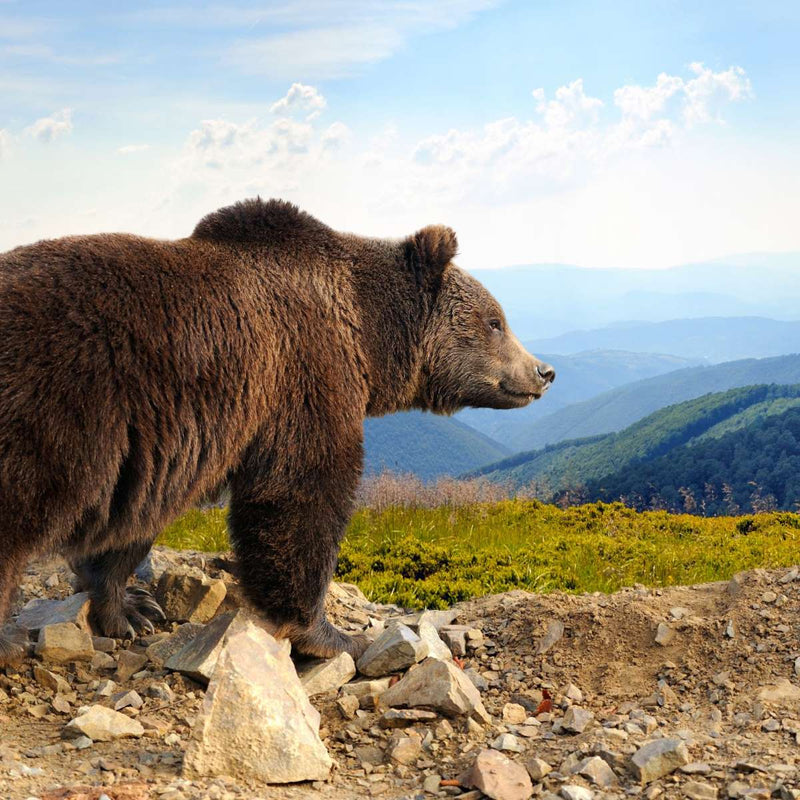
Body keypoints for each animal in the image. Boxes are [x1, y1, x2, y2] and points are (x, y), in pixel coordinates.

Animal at [0, 200, 552, 664]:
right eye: (495, 320)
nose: (543, 371)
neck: (367, 335)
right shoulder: (302, 375)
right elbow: (301, 494)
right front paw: (331, 634)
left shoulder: (164, 443)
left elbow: (134, 521)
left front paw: (132, 609)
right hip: (53, 412)